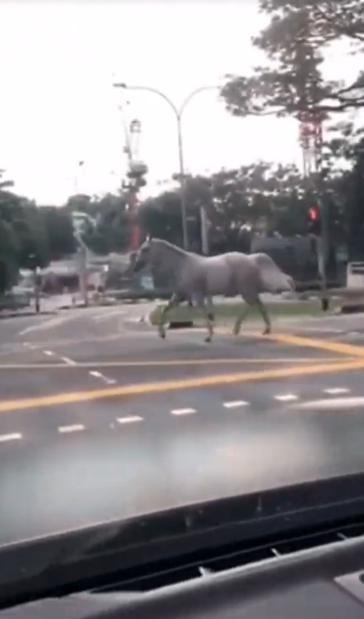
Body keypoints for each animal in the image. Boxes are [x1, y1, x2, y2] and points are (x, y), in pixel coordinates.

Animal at [134, 239, 296, 344]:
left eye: (145, 249)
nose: (135, 267)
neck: (182, 266)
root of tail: (251, 259)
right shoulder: (180, 295)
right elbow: (165, 310)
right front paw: (161, 334)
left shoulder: (197, 295)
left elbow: (204, 312)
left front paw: (209, 337)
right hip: (248, 289)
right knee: (259, 304)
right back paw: (264, 330)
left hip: (245, 289)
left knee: (252, 304)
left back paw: (238, 329)